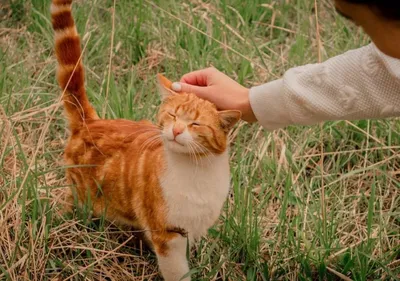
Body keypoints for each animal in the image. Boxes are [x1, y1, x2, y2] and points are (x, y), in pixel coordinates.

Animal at [52, 0, 242, 280]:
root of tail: (90, 122)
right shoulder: (167, 235)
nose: (176, 130)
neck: (197, 172)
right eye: (172, 115)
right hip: (83, 198)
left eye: (195, 124)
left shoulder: (192, 229)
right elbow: (178, 272)